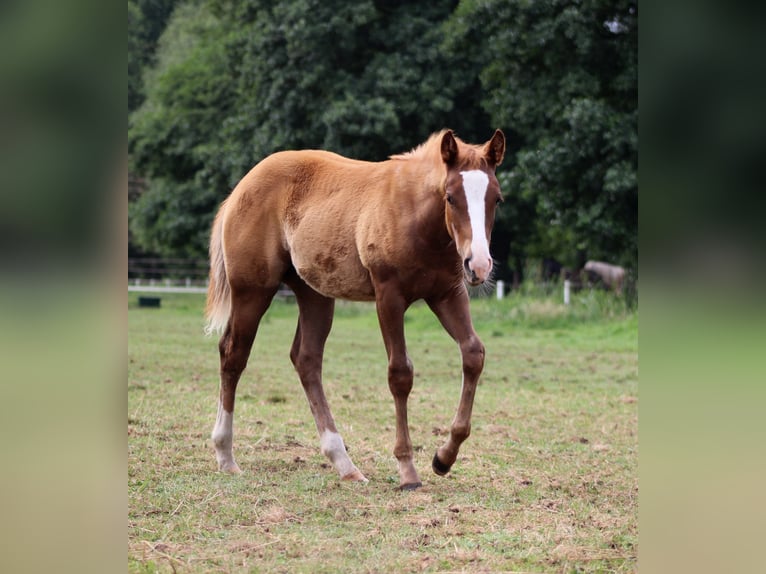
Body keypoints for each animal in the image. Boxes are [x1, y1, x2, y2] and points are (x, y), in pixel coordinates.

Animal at [205, 129, 506, 490]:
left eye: (497, 199)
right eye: (450, 197)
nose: (479, 264)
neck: (416, 217)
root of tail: (241, 188)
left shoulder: (448, 294)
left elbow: (474, 354)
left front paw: (443, 458)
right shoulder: (389, 296)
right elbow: (400, 374)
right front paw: (407, 469)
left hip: (315, 294)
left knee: (306, 360)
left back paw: (344, 463)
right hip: (252, 291)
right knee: (233, 353)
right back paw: (225, 455)